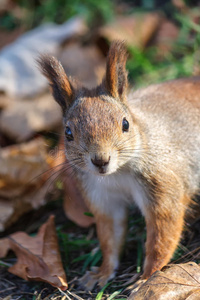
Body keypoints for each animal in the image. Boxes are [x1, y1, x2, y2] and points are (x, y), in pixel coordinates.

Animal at [38, 39, 200, 290]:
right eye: (68, 133)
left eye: (125, 124)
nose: (100, 160)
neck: (117, 174)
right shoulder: (102, 197)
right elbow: (110, 238)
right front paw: (102, 273)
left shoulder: (162, 184)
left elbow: (162, 234)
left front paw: (146, 278)